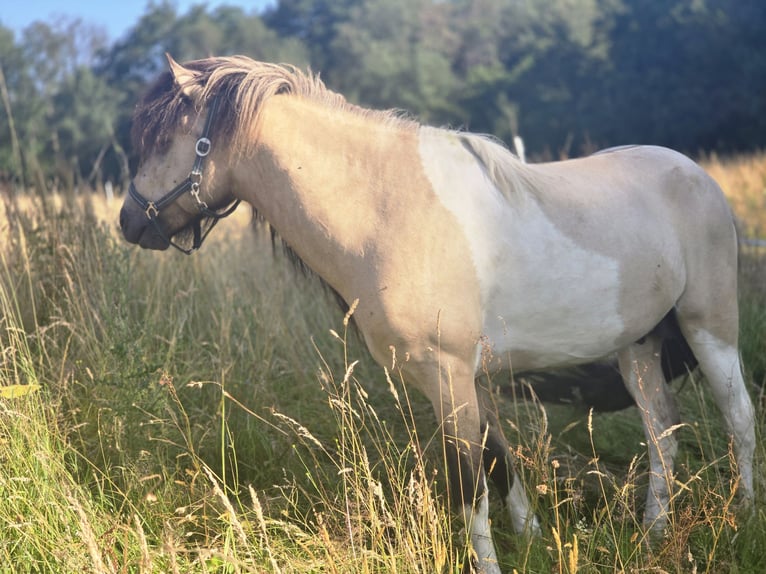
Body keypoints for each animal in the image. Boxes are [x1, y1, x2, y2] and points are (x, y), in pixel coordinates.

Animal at [120, 54, 755, 574]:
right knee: (663, 434)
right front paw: (531, 540)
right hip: (637, 344)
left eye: (164, 138)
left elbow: (469, 484)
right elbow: (498, 461)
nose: (128, 222)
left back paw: (745, 518)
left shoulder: (447, 373)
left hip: (709, 326)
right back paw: (653, 536)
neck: (386, 209)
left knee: (738, 417)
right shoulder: (467, 377)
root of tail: (696, 175)